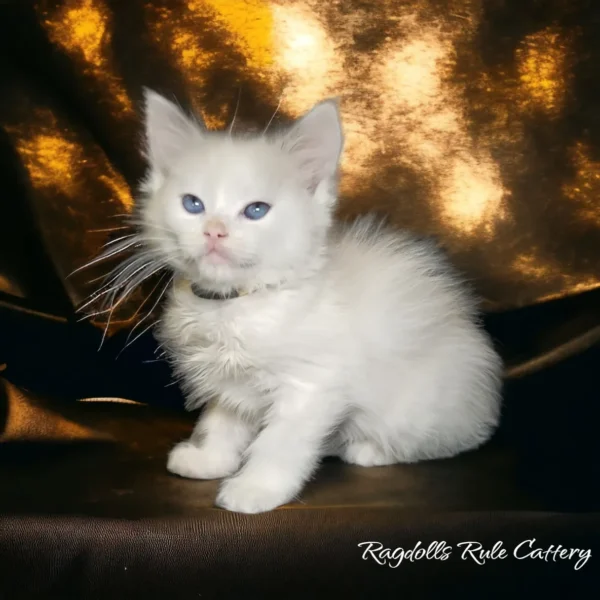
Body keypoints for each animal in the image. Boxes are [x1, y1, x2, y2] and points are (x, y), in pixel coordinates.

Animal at [136, 90, 502, 516]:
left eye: (256, 210)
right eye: (193, 204)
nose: (214, 231)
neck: (238, 304)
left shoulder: (311, 385)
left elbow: (279, 443)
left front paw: (256, 489)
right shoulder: (229, 380)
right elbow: (222, 420)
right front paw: (209, 458)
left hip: (419, 408)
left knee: (456, 439)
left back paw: (368, 450)